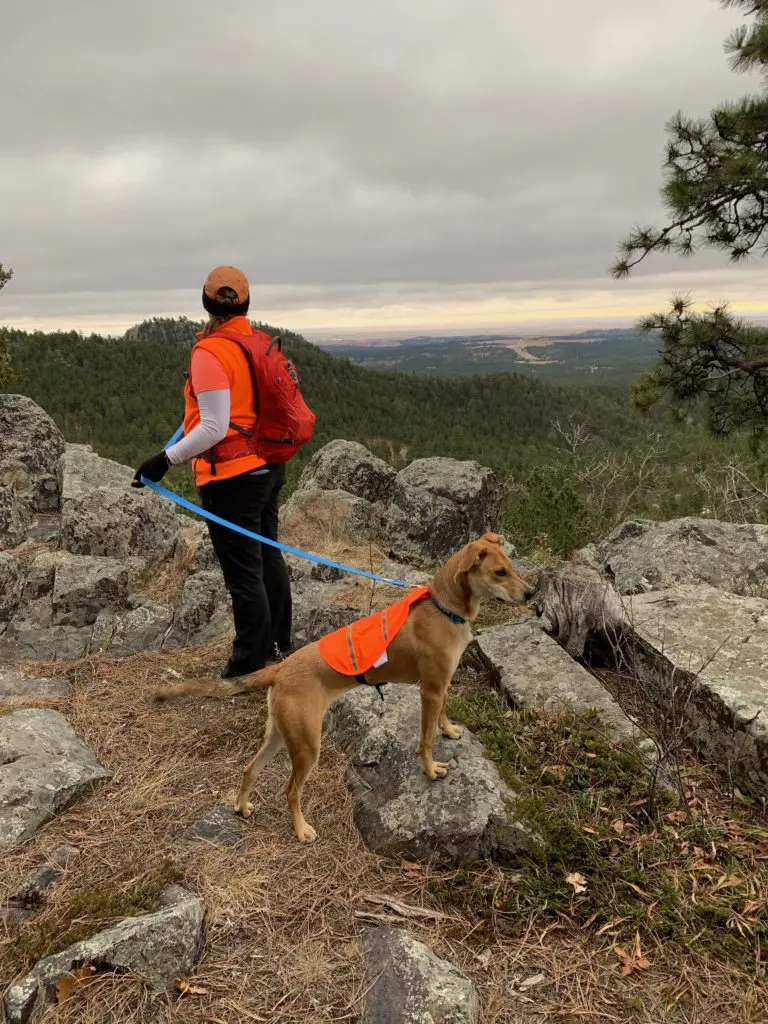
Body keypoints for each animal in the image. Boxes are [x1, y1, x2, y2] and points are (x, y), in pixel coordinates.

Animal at [156, 532, 536, 843]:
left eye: (511, 567)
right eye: (499, 573)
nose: (532, 593)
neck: (444, 606)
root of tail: (281, 668)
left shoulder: (440, 684)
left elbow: (442, 716)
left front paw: (450, 730)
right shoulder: (430, 688)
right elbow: (425, 740)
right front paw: (430, 770)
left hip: (280, 735)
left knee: (250, 769)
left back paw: (242, 806)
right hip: (308, 746)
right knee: (289, 791)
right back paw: (301, 830)